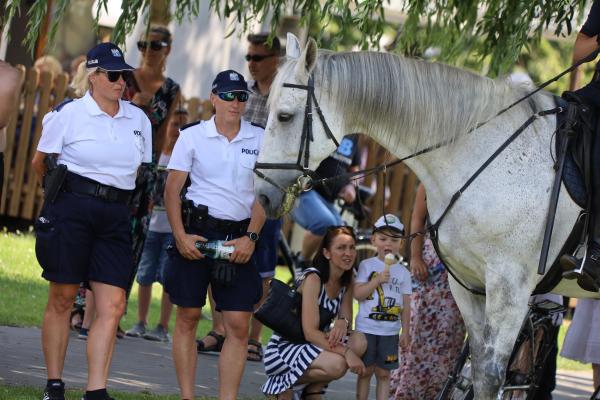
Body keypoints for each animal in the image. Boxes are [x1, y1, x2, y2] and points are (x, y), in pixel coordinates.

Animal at [254, 35, 600, 400]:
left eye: (285, 116)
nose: (261, 194)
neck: (482, 152)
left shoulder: (510, 288)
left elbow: (493, 376)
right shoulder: (468, 284)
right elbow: (479, 370)